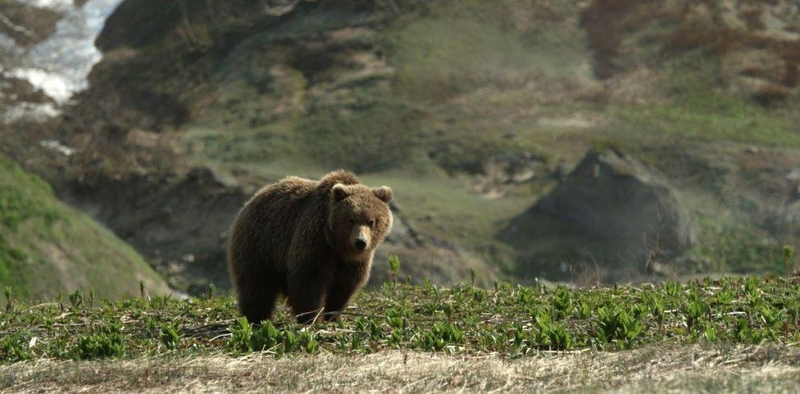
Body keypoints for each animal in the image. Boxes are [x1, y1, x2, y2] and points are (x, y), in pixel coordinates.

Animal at [227, 169, 392, 324]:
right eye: (350, 219)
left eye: (371, 221)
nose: (360, 242)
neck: (338, 245)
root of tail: (250, 201)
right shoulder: (315, 239)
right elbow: (308, 278)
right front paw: (311, 317)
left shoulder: (353, 261)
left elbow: (344, 285)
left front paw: (333, 315)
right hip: (260, 244)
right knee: (256, 284)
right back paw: (257, 317)